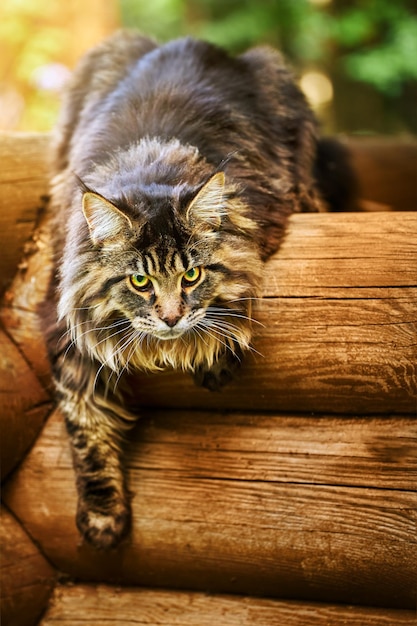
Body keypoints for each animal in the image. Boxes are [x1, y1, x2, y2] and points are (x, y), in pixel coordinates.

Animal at [44, 30, 326, 544]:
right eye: (140, 281)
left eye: (191, 275)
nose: (171, 317)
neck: (151, 165)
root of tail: (192, 41)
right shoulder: (61, 322)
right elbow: (85, 425)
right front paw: (102, 517)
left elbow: (229, 310)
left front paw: (213, 360)